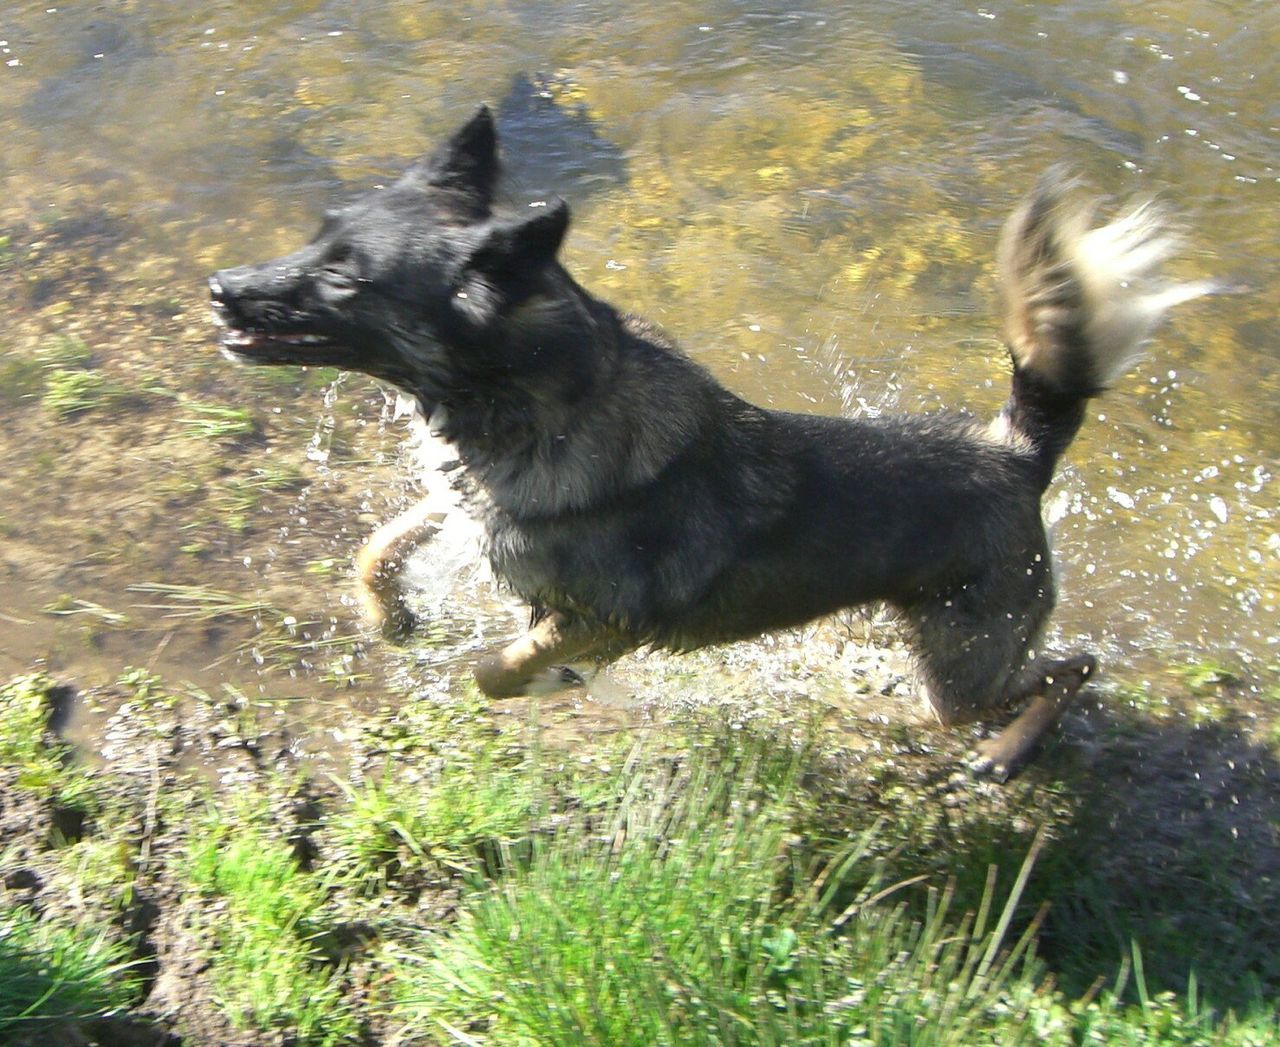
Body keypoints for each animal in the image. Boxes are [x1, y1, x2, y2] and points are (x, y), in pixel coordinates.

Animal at [209, 106, 1208, 773]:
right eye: (318, 238)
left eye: (345, 279)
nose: (222, 288)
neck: (543, 399)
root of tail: (1017, 453)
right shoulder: (468, 507)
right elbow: (380, 546)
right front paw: (392, 616)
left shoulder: (604, 618)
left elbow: (499, 668)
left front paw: (545, 683)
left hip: (961, 671)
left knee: (1076, 665)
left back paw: (1007, 751)